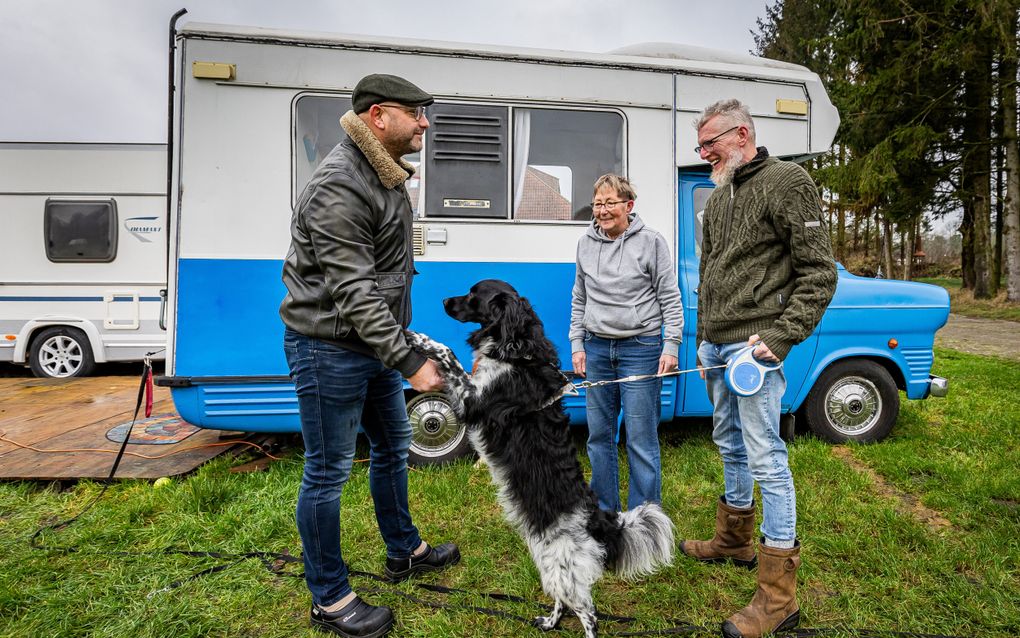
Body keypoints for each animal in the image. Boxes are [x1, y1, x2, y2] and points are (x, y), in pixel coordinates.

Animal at [405, 277, 677, 636]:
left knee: (588, 612)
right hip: (550, 562)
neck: (519, 350)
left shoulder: (472, 401)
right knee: (564, 599)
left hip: (563, 563)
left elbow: (448, 354)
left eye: (474, 294)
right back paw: (549, 621)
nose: (444, 301)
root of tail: (598, 519)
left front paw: (419, 338)